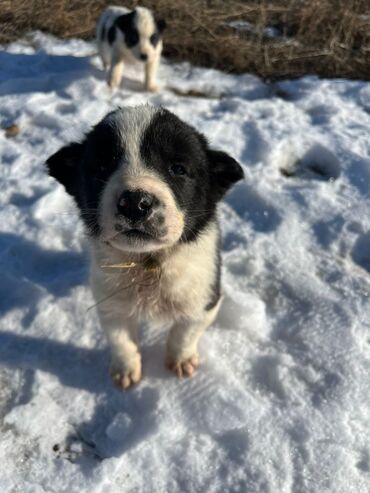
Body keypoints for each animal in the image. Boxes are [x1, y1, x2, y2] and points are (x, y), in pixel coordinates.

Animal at [45, 104, 243, 388]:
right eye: (101, 167)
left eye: (178, 169)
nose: (135, 203)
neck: (148, 260)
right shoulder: (110, 305)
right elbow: (121, 341)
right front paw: (126, 370)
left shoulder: (205, 298)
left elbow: (185, 333)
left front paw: (181, 360)